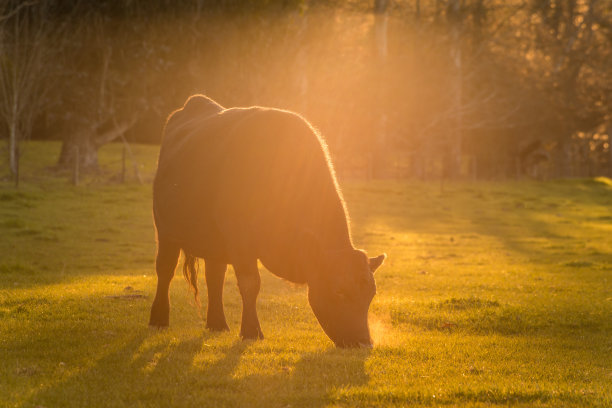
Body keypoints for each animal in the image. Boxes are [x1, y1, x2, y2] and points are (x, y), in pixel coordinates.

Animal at [149, 95, 384, 348]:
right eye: (339, 291)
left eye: (371, 293)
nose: (364, 342)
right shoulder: (240, 241)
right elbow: (250, 283)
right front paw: (251, 331)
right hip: (165, 230)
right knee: (165, 269)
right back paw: (158, 319)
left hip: (214, 241)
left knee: (214, 277)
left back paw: (217, 324)